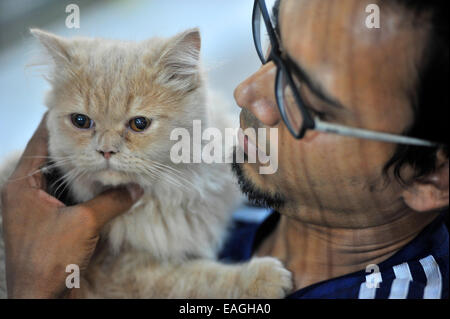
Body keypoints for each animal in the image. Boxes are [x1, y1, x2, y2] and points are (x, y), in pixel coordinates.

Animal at [0, 28, 292, 298]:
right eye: (81, 121)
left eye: (139, 124)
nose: (106, 150)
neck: (158, 200)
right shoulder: (121, 274)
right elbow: (197, 279)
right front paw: (262, 278)